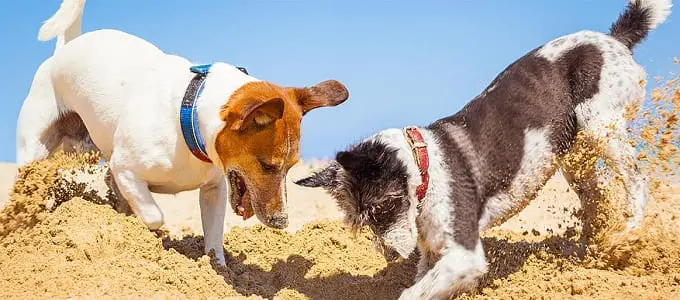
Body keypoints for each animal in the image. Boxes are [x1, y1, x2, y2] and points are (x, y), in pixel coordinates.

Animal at [17, 0, 348, 264]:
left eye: (291, 167)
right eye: (267, 166)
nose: (282, 222)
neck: (189, 118)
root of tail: (65, 49)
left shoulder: (215, 188)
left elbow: (214, 238)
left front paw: (218, 270)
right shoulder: (126, 169)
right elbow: (154, 216)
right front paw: (151, 240)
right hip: (34, 152)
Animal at [296, 1, 668, 298]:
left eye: (382, 208)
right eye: (360, 221)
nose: (389, 256)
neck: (426, 165)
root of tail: (614, 39)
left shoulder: (465, 255)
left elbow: (412, 293)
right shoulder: (433, 255)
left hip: (600, 126)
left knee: (637, 180)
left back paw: (628, 234)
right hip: (574, 155)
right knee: (596, 196)